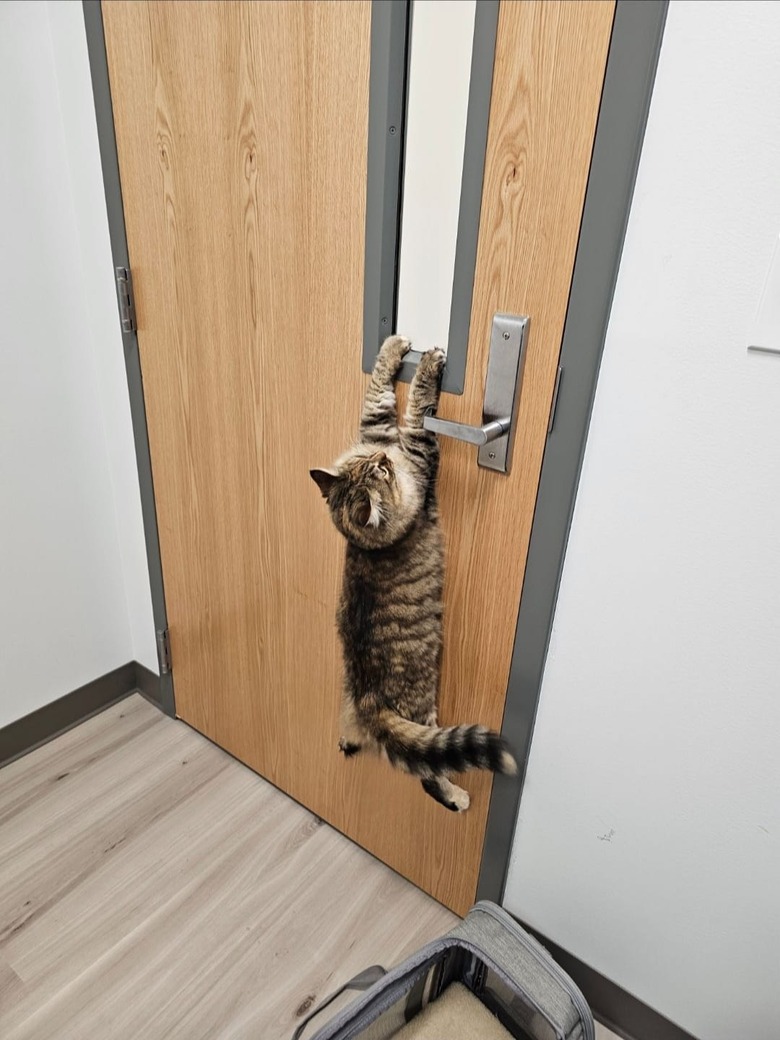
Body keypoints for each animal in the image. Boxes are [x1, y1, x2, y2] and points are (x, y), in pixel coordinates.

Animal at [312, 336, 520, 807]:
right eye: (380, 471)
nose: (383, 458)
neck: (368, 544)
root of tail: (369, 701)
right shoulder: (420, 451)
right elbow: (419, 411)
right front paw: (429, 362)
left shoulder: (378, 428)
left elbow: (378, 393)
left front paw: (395, 346)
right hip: (423, 711)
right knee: (426, 769)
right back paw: (457, 798)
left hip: (349, 705)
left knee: (357, 737)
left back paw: (348, 741)